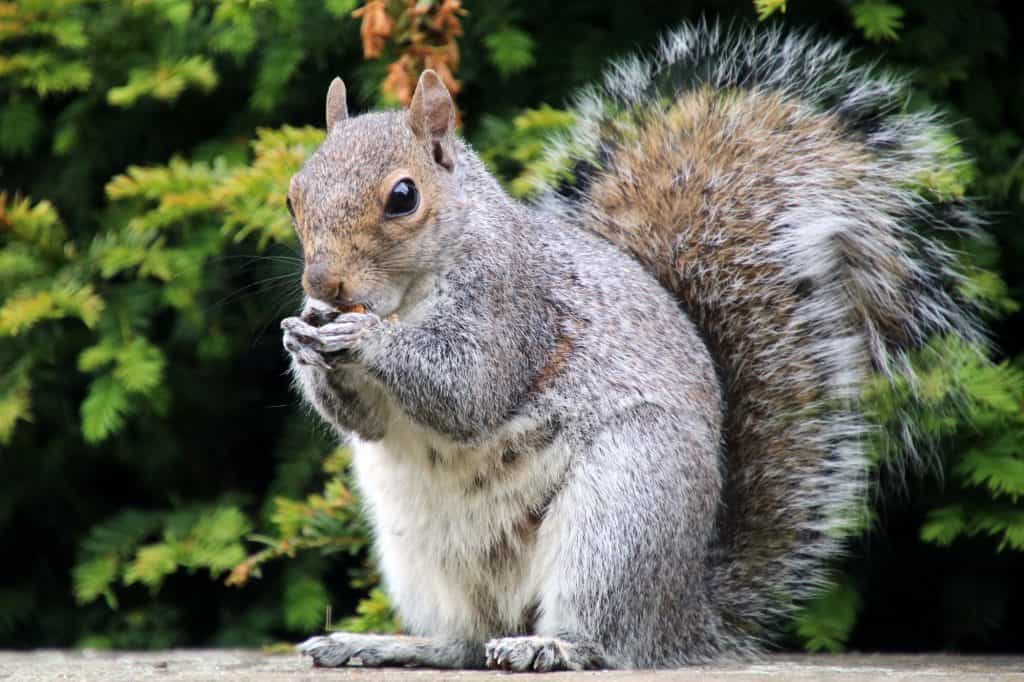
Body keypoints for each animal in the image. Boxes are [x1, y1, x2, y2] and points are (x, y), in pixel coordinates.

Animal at [280, 21, 983, 667]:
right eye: (294, 196)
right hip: (421, 555)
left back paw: (551, 646)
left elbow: (468, 389)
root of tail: (683, 615)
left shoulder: (514, 308)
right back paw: (378, 644)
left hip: (620, 512)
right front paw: (304, 338)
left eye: (403, 196)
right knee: (466, 643)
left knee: (601, 639)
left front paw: (360, 336)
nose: (323, 284)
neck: (408, 294)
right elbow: (368, 422)